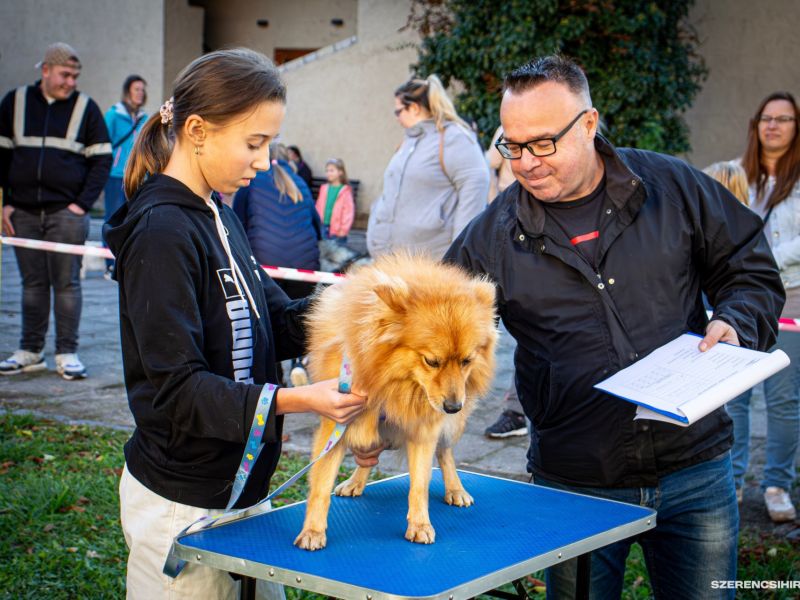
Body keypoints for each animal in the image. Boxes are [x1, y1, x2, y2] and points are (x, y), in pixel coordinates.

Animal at [290, 251, 496, 552]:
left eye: (466, 361)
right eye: (431, 361)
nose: (453, 407)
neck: (392, 382)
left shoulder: (424, 430)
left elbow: (420, 484)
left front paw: (420, 525)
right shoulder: (335, 423)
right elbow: (320, 485)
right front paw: (313, 530)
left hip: (450, 429)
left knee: (445, 453)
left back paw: (455, 489)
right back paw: (355, 482)